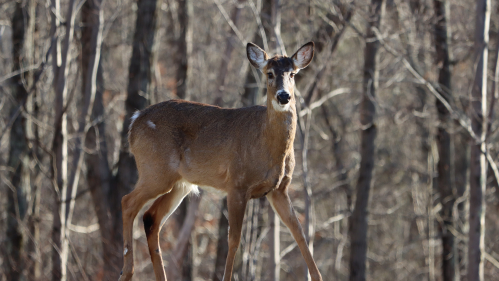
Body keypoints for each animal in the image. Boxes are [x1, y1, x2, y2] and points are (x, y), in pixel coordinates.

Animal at [118, 41, 324, 280]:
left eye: (292, 74)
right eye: (269, 73)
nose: (284, 96)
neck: (268, 146)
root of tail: (134, 122)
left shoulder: (279, 189)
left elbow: (299, 232)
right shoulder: (237, 184)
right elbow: (233, 239)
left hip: (180, 183)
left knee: (151, 217)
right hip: (155, 170)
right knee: (128, 202)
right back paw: (127, 271)